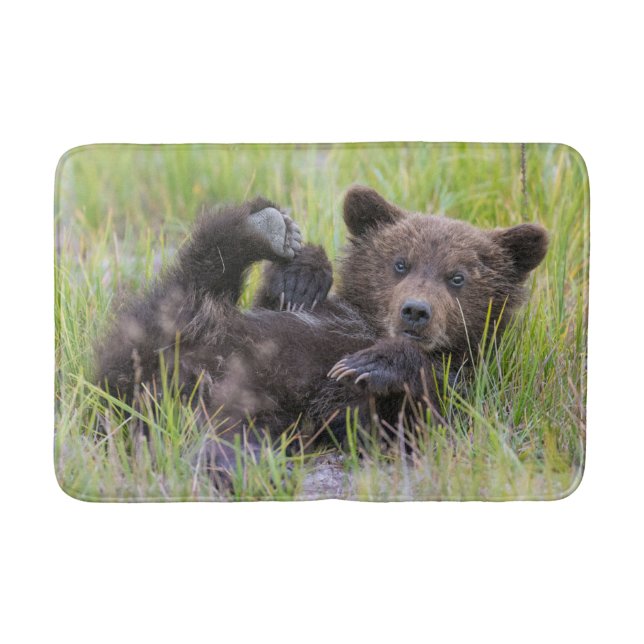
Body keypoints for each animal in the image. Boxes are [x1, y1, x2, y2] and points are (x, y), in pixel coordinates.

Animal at [95, 186, 548, 485]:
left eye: (458, 277)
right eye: (400, 263)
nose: (416, 311)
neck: (368, 324)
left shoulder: (464, 382)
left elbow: (420, 419)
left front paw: (373, 363)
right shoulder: (315, 314)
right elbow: (283, 299)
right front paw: (303, 275)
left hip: (249, 408)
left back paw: (241, 462)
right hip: (164, 337)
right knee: (187, 286)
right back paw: (261, 228)